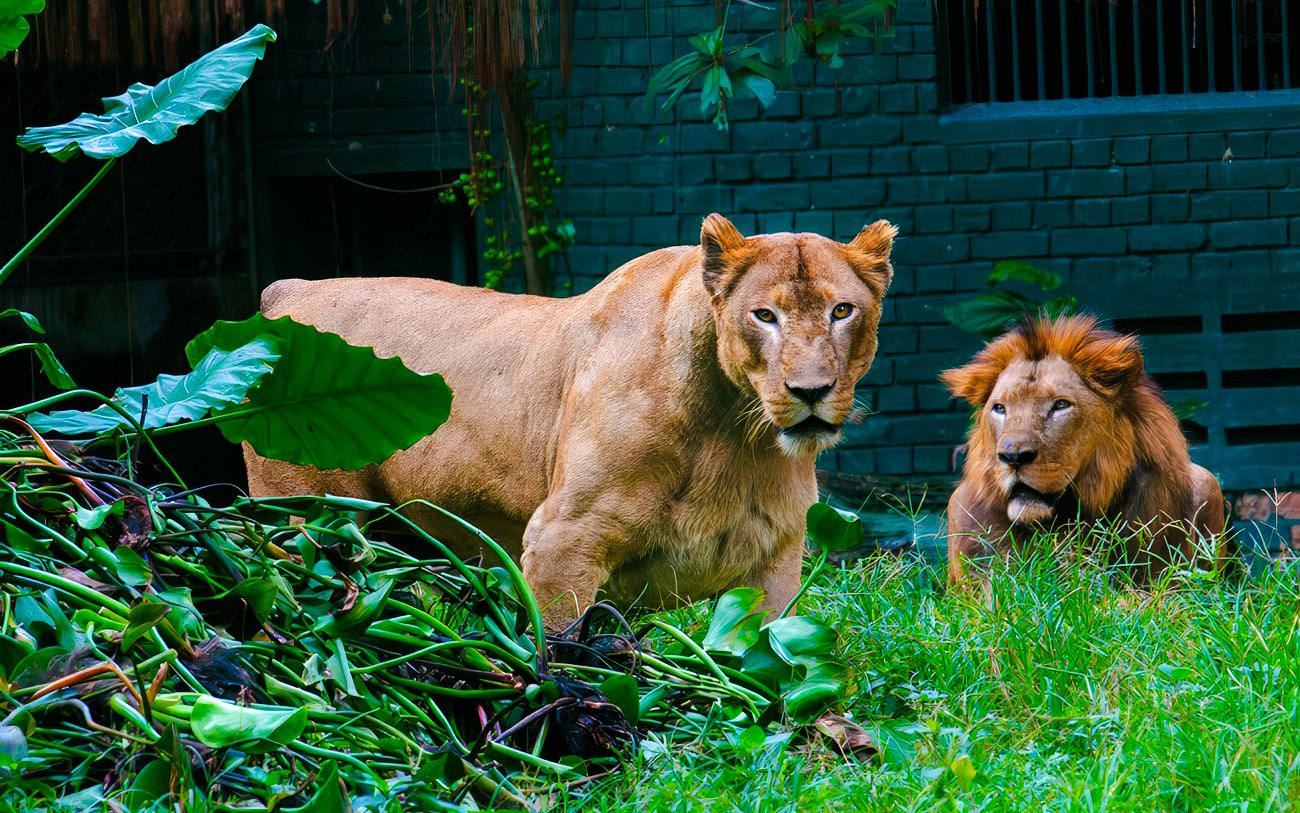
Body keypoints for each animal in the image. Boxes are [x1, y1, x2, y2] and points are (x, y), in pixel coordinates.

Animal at [245, 214, 897, 628]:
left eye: (842, 311)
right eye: (764, 316)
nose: (810, 391)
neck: (733, 432)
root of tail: (288, 291)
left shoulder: (776, 563)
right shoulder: (563, 541)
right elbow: (558, 652)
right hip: (302, 521)